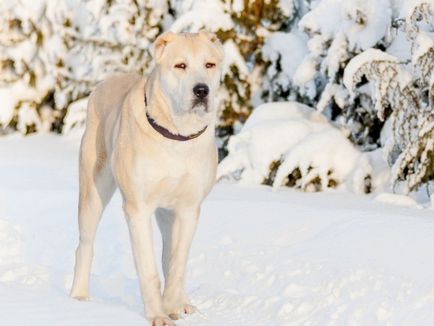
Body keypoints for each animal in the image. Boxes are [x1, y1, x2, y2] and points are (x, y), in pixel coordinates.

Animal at [70, 31, 224, 326]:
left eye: (209, 64)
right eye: (180, 65)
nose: (201, 90)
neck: (177, 136)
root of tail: (106, 81)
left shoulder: (188, 209)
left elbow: (176, 263)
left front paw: (172, 305)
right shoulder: (137, 210)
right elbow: (148, 269)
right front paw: (157, 314)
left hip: (167, 213)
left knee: (168, 255)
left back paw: (181, 302)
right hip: (93, 191)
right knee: (85, 244)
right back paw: (78, 297)